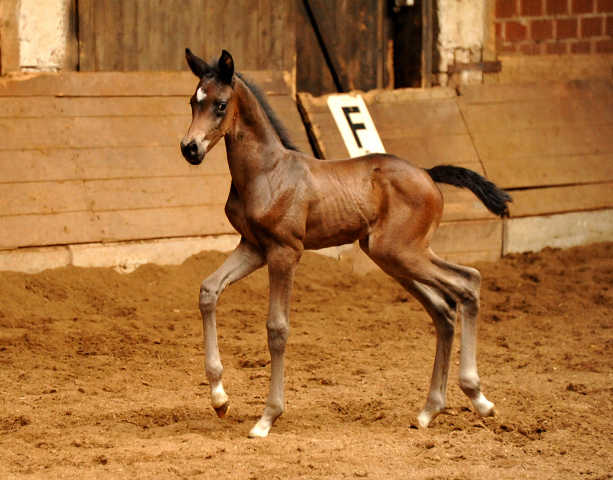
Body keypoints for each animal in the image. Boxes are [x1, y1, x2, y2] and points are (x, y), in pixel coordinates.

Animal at [179, 49, 510, 438]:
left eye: (220, 105)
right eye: (192, 102)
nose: (190, 148)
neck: (266, 171)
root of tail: (428, 174)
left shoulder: (285, 251)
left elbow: (277, 328)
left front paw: (267, 417)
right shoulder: (253, 247)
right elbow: (208, 290)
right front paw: (219, 398)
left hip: (404, 252)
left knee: (468, 281)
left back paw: (479, 398)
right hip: (391, 257)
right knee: (443, 309)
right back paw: (430, 410)